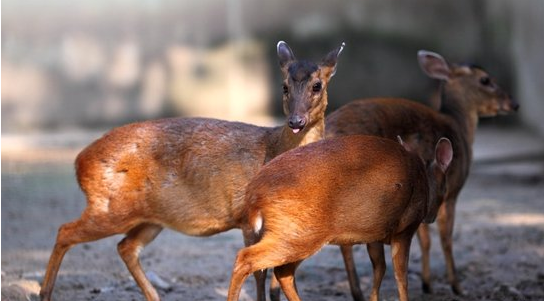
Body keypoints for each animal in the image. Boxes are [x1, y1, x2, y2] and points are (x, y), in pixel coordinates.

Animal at [39, 40, 344, 300]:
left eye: (317, 85)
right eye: (284, 87)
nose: (296, 121)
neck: (274, 148)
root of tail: (79, 161)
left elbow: (275, 276)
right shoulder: (247, 217)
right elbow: (259, 272)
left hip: (150, 218)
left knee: (125, 247)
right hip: (110, 207)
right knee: (65, 231)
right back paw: (44, 293)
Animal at [227, 134, 452, 300]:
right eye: (444, 190)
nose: (431, 218)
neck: (423, 178)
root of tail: (254, 192)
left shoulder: (375, 234)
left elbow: (379, 268)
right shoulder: (405, 229)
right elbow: (400, 276)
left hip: (295, 232)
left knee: (282, 272)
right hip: (298, 232)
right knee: (246, 259)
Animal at [324, 49, 520, 298]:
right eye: (485, 80)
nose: (514, 104)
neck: (459, 128)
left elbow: (425, 239)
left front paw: (428, 284)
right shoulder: (452, 190)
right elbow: (446, 239)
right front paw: (457, 286)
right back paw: (357, 290)